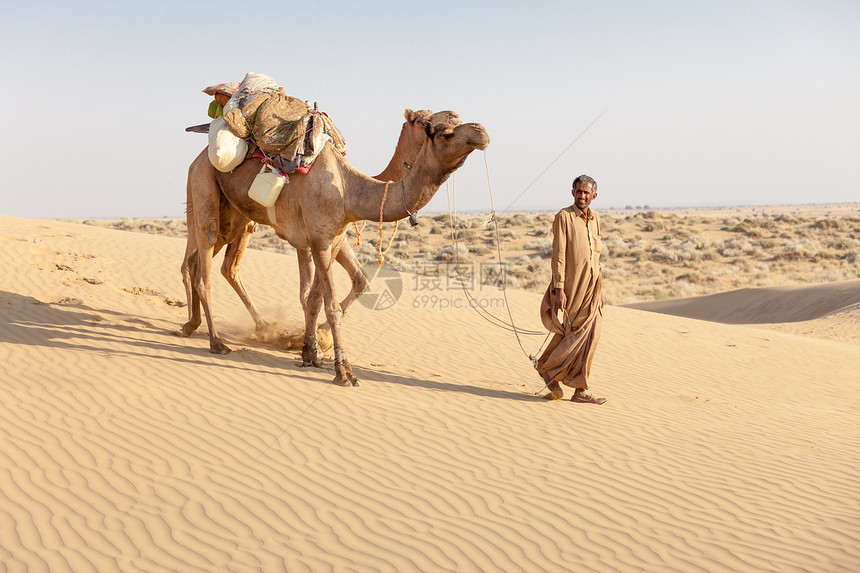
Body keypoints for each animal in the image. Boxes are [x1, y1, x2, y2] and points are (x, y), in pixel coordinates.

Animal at [186, 117, 490, 384]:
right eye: (446, 133)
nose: (480, 130)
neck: (348, 190)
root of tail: (197, 157)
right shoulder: (318, 240)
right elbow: (329, 305)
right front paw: (343, 371)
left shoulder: (330, 241)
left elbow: (315, 298)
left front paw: (310, 353)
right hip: (204, 186)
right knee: (205, 263)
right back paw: (217, 341)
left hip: (234, 217)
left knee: (201, 262)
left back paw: (193, 325)